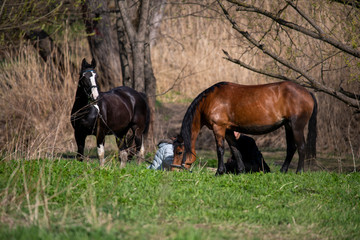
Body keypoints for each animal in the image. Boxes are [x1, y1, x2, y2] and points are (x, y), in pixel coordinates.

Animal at [173, 81, 316, 174]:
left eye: (179, 152)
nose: (174, 170)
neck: (210, 100)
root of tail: (307, 92)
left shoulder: (219, 128)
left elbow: (220, 150)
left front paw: (219, 172)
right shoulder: (228, 130)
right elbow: (235, 150)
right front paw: (241, 171)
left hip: (296, 127)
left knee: (301, 147)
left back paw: (299, 171)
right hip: (288, 126)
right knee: (291, 148)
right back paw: (283, 171)